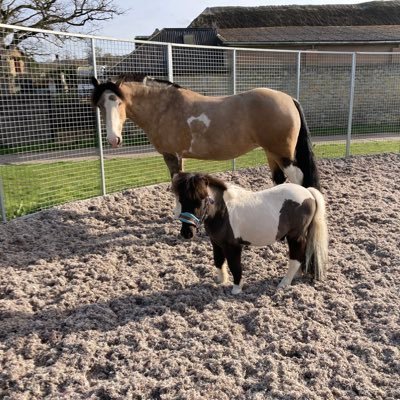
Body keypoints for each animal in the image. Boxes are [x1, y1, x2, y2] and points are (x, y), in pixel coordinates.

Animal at [91, 74, 322, 190]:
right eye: (100, 105)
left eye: (119, 102)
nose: (113, 139)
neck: (164, 107)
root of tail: (289, 99)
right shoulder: (180, 156)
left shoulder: (171, 155)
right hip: (270, 152)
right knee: (279, 180)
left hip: (283, 154)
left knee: (298, 179)